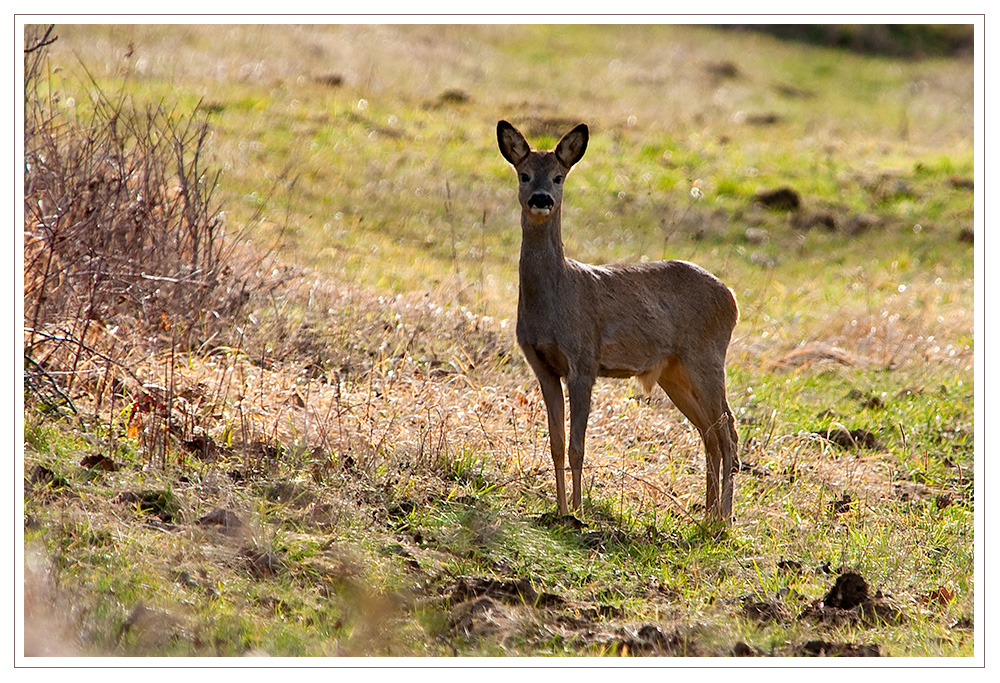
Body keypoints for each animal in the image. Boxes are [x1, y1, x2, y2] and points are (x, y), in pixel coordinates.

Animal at [496, 119, 740, 524]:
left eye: (559, 176)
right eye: (524, 174)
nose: (541, 199)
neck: (557, 295)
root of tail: (732, 299)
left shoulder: (583, 359)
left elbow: (577, 445)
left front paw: (577, 513)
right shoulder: (541, 365)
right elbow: (556, 443)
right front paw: (558, 509)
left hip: (706, 355)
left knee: (728, 432)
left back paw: (722, 521)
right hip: (674, 371)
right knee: (710, 433)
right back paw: (706, 517)